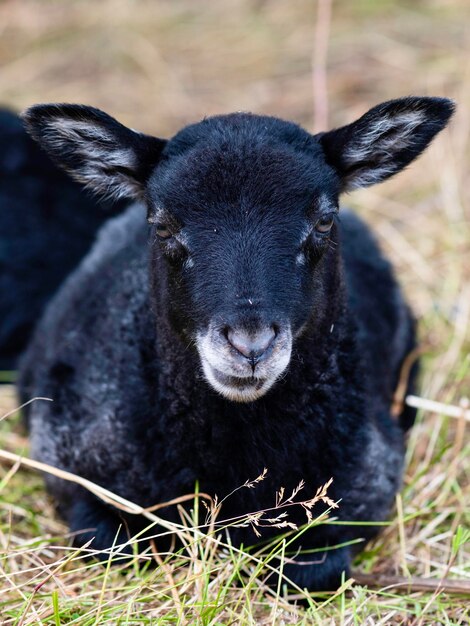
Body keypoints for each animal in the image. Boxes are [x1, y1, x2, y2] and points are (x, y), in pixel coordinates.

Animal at [19, 97, 456, 588]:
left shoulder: (363, 494)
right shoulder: (73, 470)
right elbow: (114, 544)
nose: (250, 346)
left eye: (324, 222)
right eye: (163, 227)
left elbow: (313, 571)